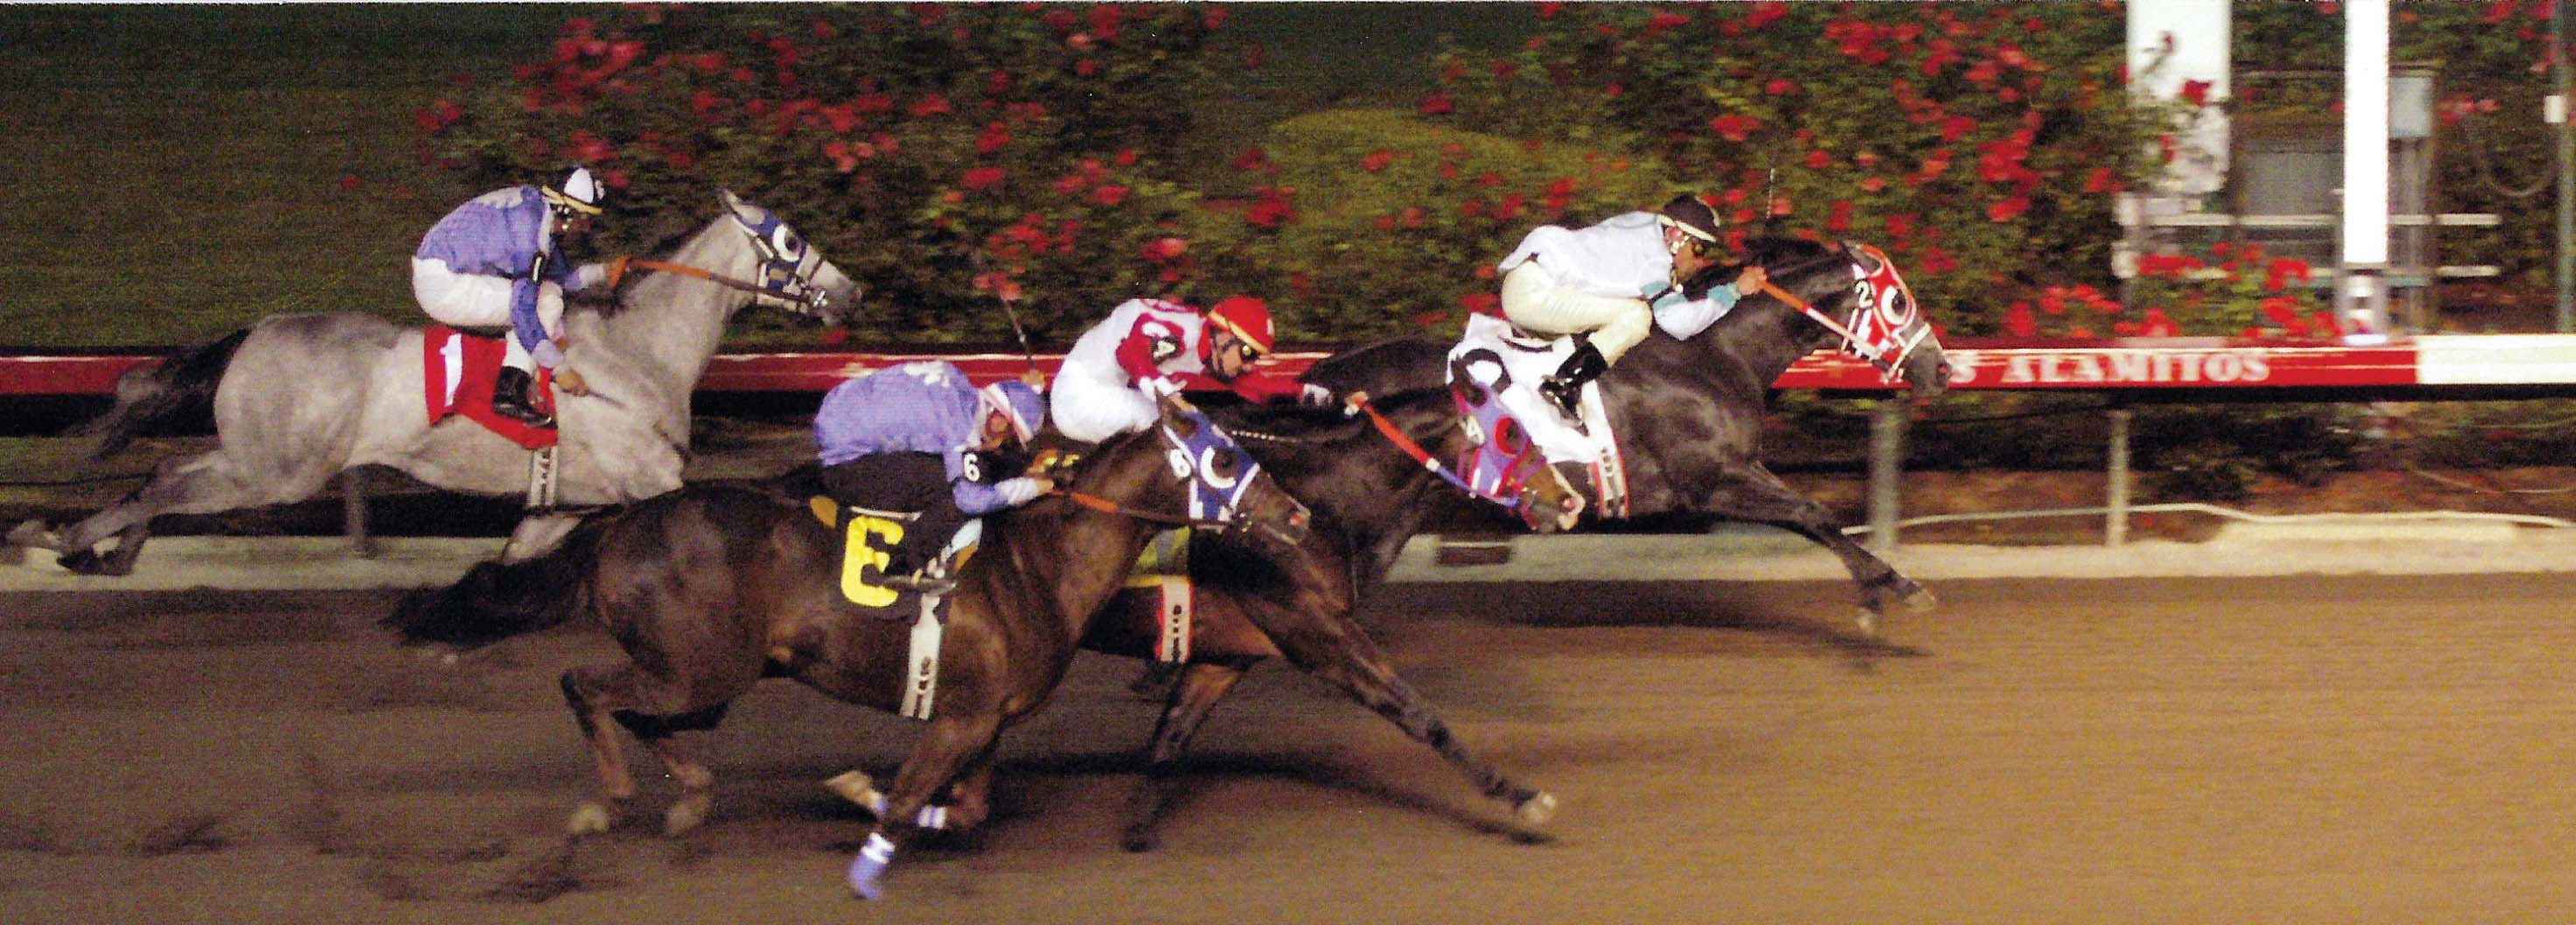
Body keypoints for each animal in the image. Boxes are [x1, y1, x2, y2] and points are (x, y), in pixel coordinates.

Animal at [15, 190, 860, 576]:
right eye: (790, 240)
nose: (848, 291)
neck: (639, 350)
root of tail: (252, 334)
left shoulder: (564, 502)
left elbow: (514, 559)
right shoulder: (651, 482)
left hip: (257, 458)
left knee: (164, 471)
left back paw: (106, 547)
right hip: (278, 471)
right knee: (168, 482)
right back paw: (67, 538)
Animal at [386, 396, 1308, 896]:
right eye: (1225, 460)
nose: (1297, 516)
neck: (1041, 561)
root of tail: (618, 524)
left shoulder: (984, 718)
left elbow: (963, 810)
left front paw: (862, 790)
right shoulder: (960, 719)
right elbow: (904, 803)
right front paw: (863, 825)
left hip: (708, 673)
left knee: (646, 716)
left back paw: (689, 796)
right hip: (697, 667)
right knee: (585, 685)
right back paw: (607, 801)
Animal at [1308, 237, 1947, 631]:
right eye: (1899, 301)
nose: (1941, 369)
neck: (1710, 351)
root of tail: (1322, 375)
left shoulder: (1741, 466)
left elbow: (1815, 517)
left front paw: (1892, 584)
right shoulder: (1707, 482)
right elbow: (1811, 513)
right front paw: (1883, 594)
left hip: (1402, 510)